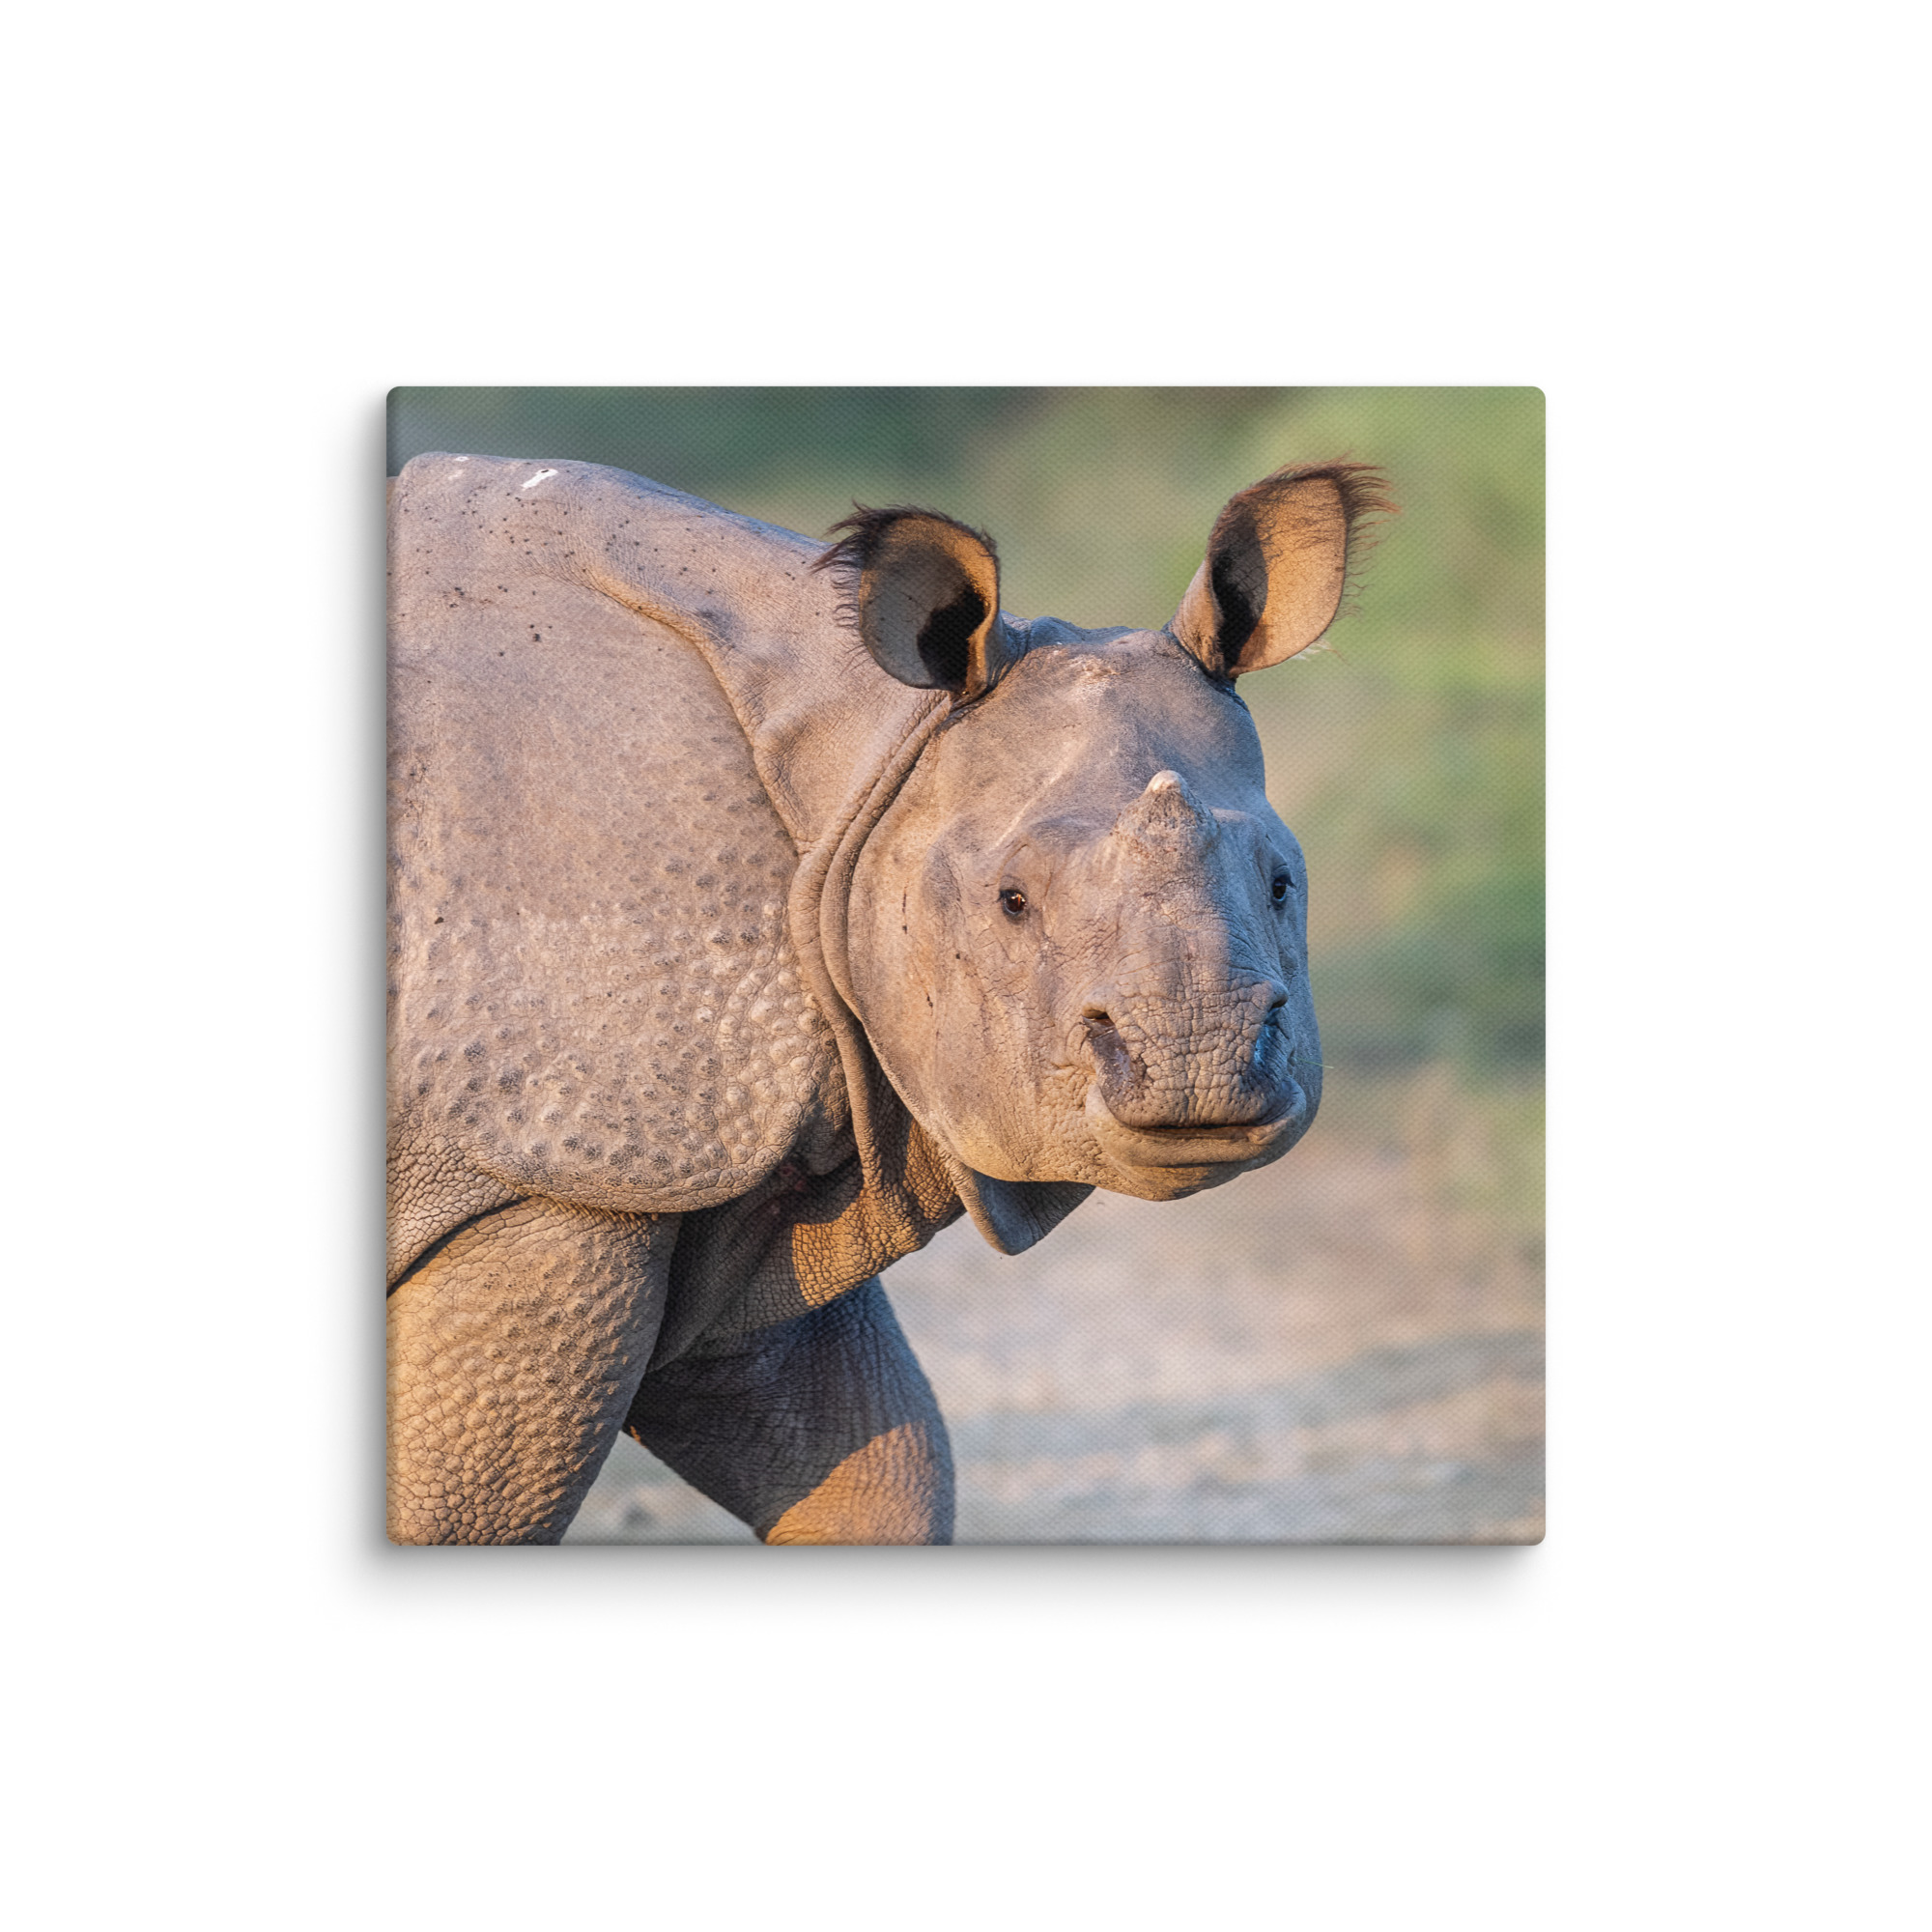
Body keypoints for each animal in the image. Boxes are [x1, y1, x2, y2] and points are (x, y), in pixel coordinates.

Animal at [387, 450, 1387, 1544]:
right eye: (1011, 902)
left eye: (1282, 885)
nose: (1199, 1064)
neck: (871, 760)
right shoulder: (562, 1171)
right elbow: (463, 1514)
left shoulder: (717, 1178)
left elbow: (880, 1464)